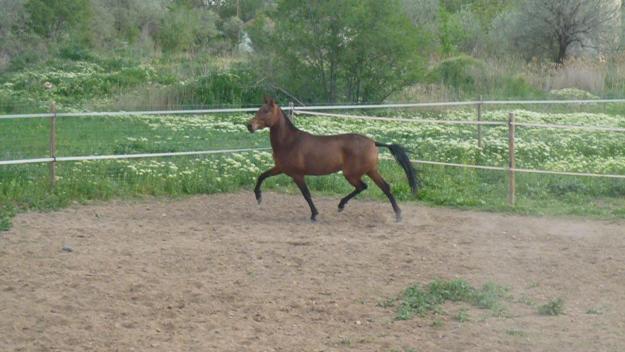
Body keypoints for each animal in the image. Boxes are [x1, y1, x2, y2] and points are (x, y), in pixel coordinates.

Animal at [246, 97, 416, 221]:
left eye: (266, 111)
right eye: (258, 110)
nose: (249, 126)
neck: (289, 142)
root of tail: (373, 142)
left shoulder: (297, 174)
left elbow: (306, 194)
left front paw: (314, 214)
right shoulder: (280, 168)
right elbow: (262, 176)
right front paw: (258, 197)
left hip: (352, 174)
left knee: (363, 186)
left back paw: (341, 205)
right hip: (371, 171)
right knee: (385, 187)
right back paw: (398, 215)